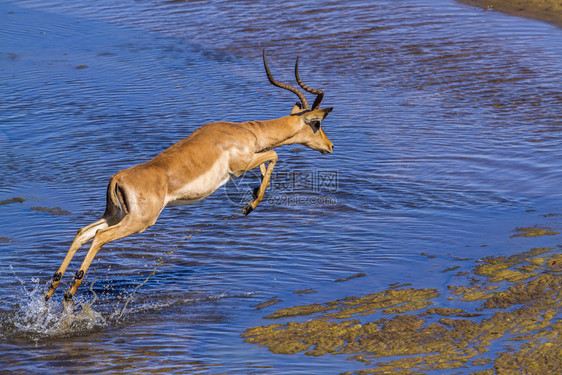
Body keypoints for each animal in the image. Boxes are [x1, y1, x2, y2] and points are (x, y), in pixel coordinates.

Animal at [46, 52, 332, 306]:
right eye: (317, 124)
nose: (329, 146)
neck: (244, 132)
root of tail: (118, 178)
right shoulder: (240, 166)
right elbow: (273, 155)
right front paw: (249, 206)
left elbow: (266, 163)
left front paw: (252, 196)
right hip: (139, 222)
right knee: (99, 236)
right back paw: (70, 292)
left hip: (116, 214)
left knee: (83, 233)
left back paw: (52, 289)